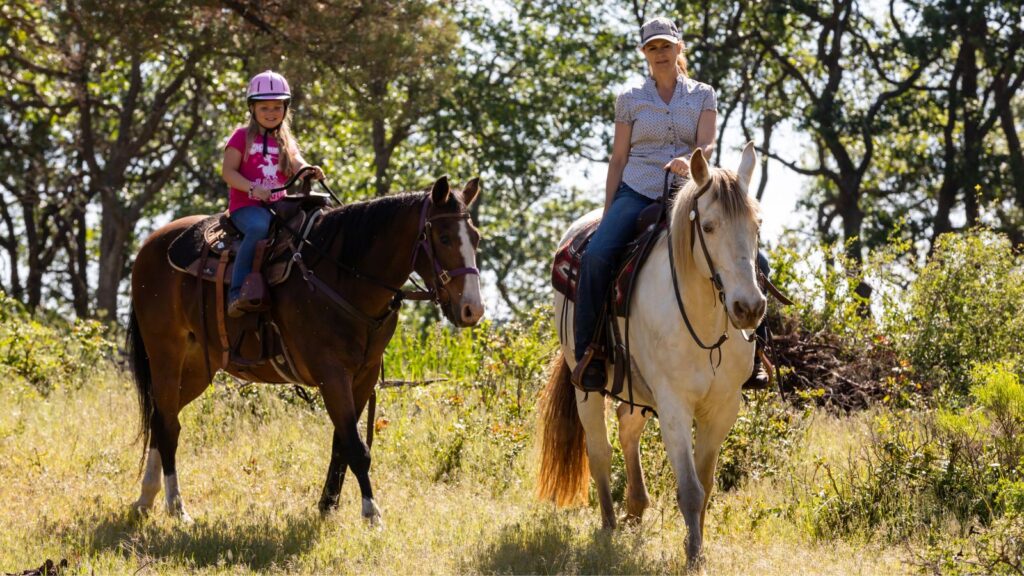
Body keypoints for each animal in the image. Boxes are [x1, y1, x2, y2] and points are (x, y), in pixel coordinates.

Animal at [124, 174, 483, 520]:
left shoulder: (363, 376)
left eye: (476, 237)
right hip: (166, 355)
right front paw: (371, 513)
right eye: (444, 238)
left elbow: (342, 442)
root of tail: (150, 246)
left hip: (199, 366)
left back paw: (147, 498)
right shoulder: (331, 374)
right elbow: (355, 446)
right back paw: (176, 507)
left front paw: (328, 506)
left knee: (161, 418)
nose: (472, 309)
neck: (342, 276)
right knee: (168, 424)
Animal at [540, 142, 765, 565]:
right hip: (586, 386)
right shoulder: (674, 404)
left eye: (757, 226)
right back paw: (610, 526)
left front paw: (697, 547)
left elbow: (706, 485)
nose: (748, 308)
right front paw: (693, 557)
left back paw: (635, 510)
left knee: (627, 430)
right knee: (599, 450)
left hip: (637, 390)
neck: (704, 323)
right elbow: (690, 489)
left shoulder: (724, 408)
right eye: (708, 226)